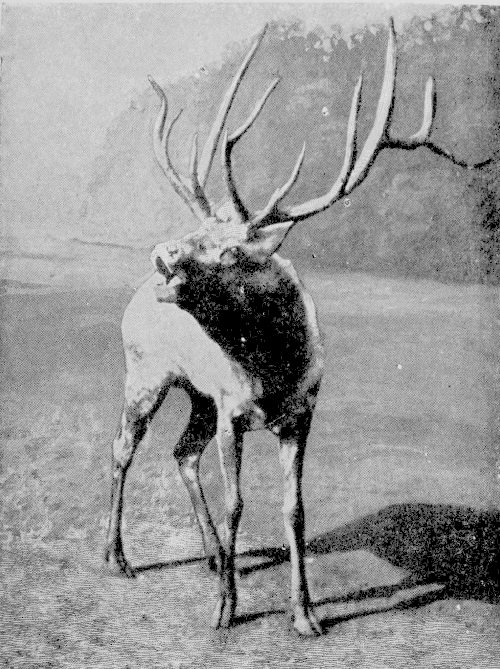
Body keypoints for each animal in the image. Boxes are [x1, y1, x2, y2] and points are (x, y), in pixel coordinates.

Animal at [105, 20, 488, 636]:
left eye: (230, 251)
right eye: (199, 231)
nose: (163, 256)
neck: (272, 370)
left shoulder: (301, 413)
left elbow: (295, 509)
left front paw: (304, 613)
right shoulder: (233, 411)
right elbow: (237, 502)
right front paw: (226, 610)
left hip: (197, 395)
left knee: (181, 453)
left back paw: (214, 558)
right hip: (145, 374)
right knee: (123, 448)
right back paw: (117, 558)